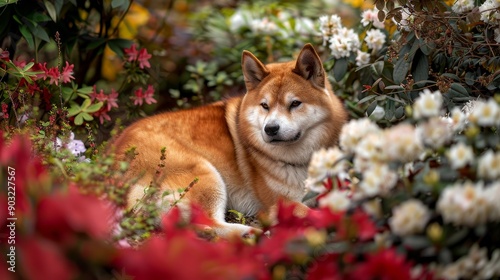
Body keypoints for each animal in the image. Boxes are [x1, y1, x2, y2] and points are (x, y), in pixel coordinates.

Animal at [112, 43, 348, 236]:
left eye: (295, 103)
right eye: (265, 105)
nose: (270, 129)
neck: (302, 161)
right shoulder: (281, 203)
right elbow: (317, 213)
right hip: (205, 174)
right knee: (204, 223)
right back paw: (246, 233)